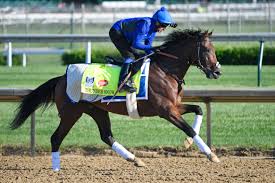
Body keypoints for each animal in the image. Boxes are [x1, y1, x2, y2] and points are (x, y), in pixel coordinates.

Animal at [10, 29, 222, 171]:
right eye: (206, 49)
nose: (217, 71)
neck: (166, 69)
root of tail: (62, 78)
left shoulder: (174, 106)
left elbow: (198, 109)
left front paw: (188, 142)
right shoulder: (166, 111)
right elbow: (188, 127)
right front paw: (211, 155)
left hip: (97, 110)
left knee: (107, 136)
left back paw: (135, 159)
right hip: (71, 112)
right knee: (56, 137)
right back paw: (56, 169)